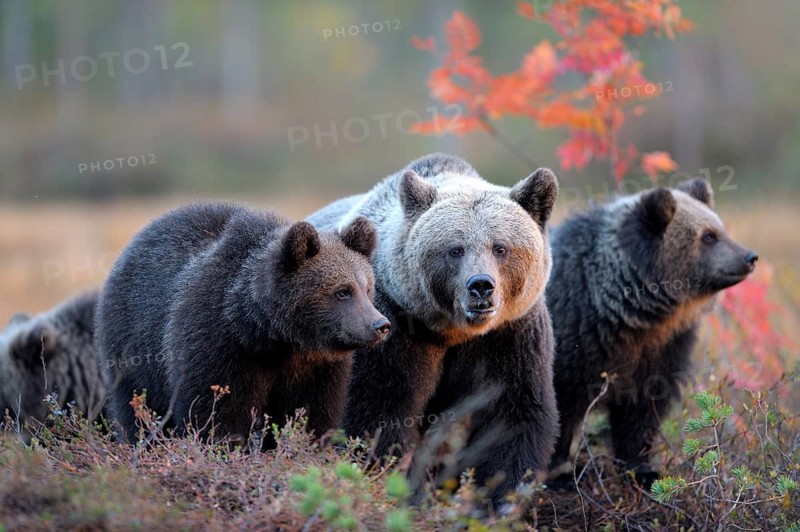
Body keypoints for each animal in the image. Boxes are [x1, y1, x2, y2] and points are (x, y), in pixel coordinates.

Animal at [95, 201, 390, 445]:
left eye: (368, 288)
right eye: (342, 291)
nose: (380, 325)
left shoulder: (316, 367)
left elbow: (311, 413)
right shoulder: (218, 346)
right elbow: (219, 414)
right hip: (134, 342)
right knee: (137, 407)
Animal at [307, 153, 560, 505]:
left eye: (500, 247)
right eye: (455, 249)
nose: (481, 286)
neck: (454, 331)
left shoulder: (511, 334)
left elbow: (513, 413)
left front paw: (500, 499)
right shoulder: (392, 325)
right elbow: (380, 410)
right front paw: (407, 490)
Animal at [546, 178, 758, 484]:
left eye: (720, 228)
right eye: (708, 236)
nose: (749, 257)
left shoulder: (661, 349)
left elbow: (643, 410)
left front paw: (643, 470)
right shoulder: (572, 339)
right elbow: (558, 406)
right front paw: (557, 472)